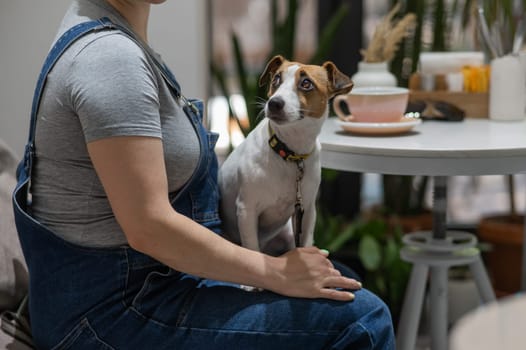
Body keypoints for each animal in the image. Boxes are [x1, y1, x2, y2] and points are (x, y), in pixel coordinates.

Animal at [219, 55, 354, 258]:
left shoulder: (307, 211)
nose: (274, 103)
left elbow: (305, 244)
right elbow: (252, 248)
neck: (290, 154)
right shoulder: (246, 210)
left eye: (306, 83)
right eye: (276, 79)